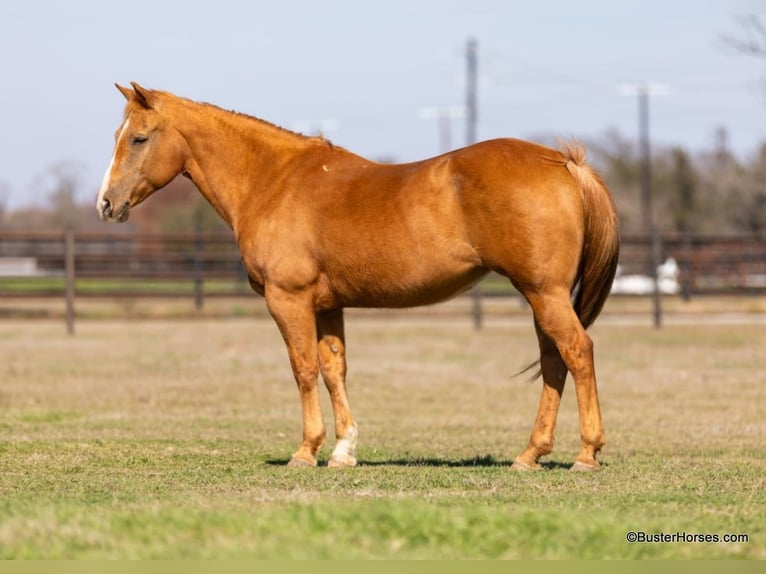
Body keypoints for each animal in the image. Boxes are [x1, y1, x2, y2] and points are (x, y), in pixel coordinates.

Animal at [97, 82, 620, 471]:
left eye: (139, 138)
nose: (106, 203)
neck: (274, 181)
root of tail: (564, 162)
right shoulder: (329, 305)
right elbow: (334, 370)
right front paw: (343, 450)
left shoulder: (288, 300)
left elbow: (303, 369)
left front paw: (306, 450)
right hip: (541, 296)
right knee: (554, 361)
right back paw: (530, 454)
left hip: (544, 293)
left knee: (577, 352)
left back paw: (586, 453)